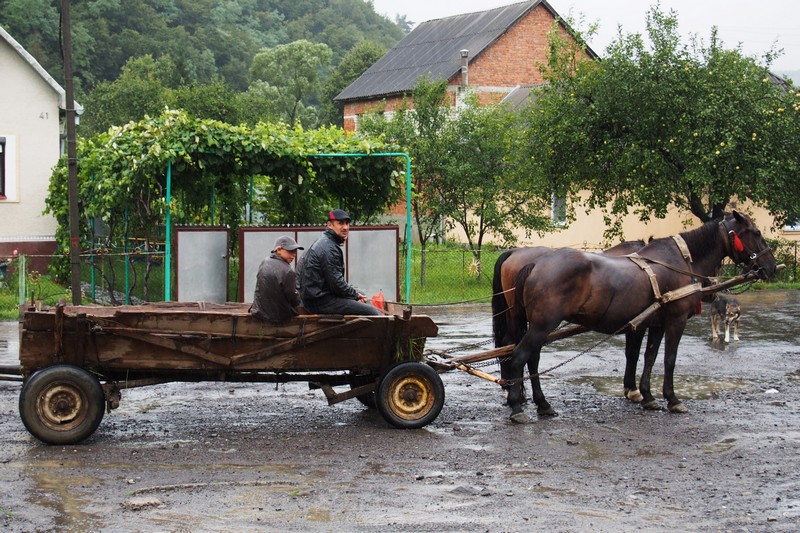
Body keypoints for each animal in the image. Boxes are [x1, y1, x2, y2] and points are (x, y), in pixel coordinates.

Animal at [506, 212, 776, 424]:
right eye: (756, 232)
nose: (771, 266)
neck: (680, 262)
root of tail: (536, 263)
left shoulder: (656, 323)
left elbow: (649, 357)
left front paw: (647, 396)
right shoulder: (676, 320)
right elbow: (669, 359)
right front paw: (672, 399)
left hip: (540, 326)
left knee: (532, 360)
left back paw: (543, 404)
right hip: (543, 325)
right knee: (519, 357)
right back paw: (517, 407)